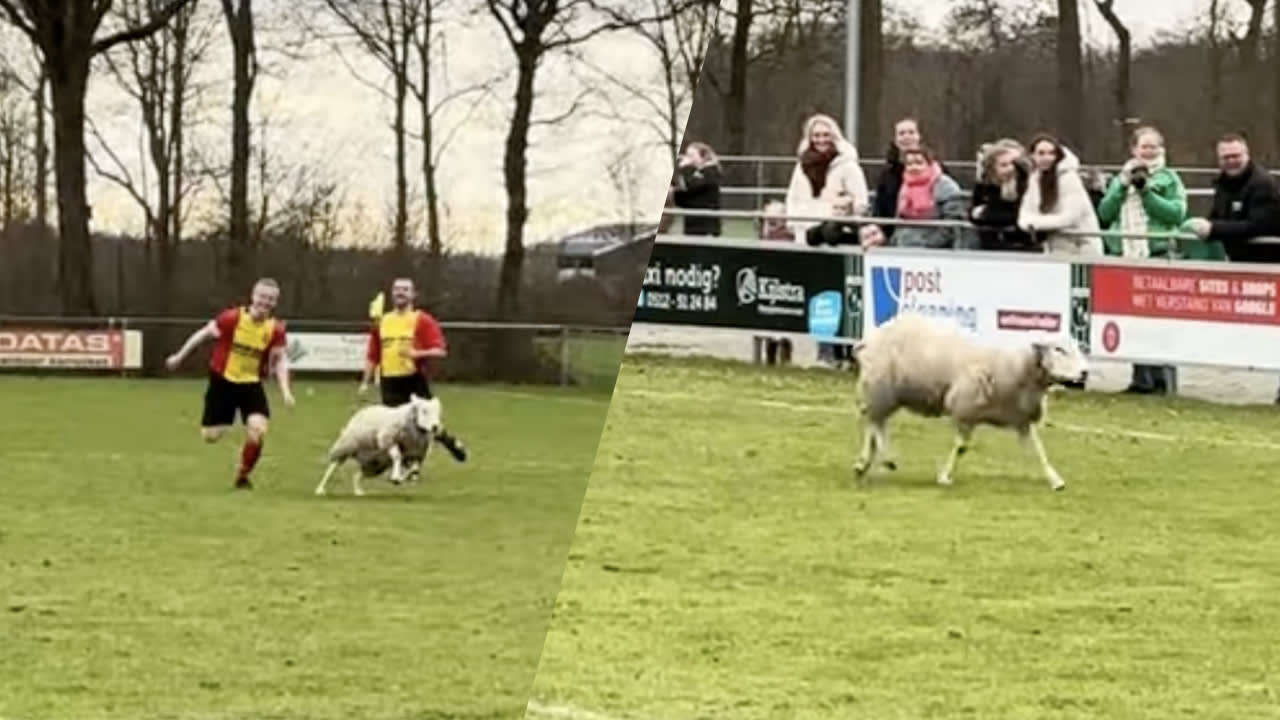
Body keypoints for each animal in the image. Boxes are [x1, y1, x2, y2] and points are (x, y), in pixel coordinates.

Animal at [314, 389, 445, 497]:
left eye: (438, 412)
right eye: (424, 411)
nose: (435, 427)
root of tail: (366, 409)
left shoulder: (416, 454)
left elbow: (414, 469)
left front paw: (399, 479)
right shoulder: (388, 440)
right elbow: (397, 456)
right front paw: (396, 477)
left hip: (374, 463)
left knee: (357, 475)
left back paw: (358, 491)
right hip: (346, 447)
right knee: (332, 468)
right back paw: (320, 489)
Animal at [849, 311, 1090, 489]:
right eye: (1058, 349)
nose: (1085, 372)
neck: (1015, 366)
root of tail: (870, 337)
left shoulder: (1020, 420)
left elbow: (1039, 452)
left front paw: (1055, 480)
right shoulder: (964, 409)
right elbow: (961, 448)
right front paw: (944, 477)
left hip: (887, 393)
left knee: (873, 422)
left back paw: (863, 463)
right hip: (880, 387)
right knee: (873, 422)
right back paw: (886, 458)